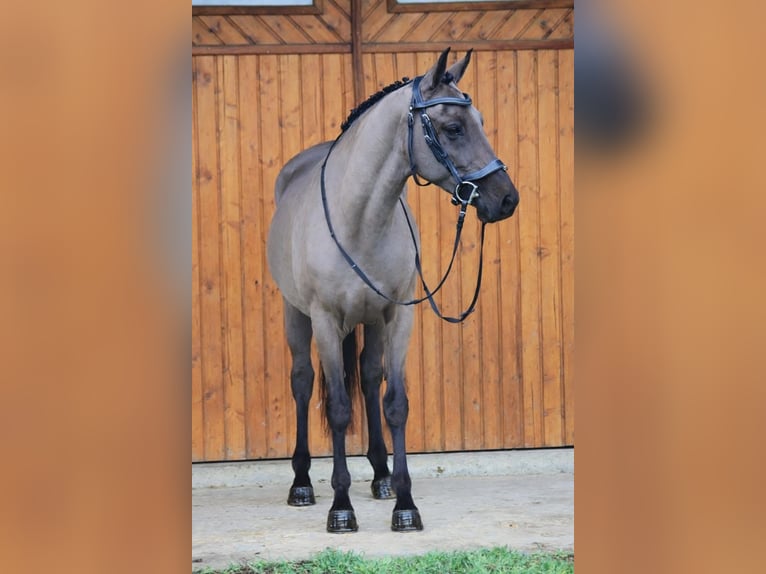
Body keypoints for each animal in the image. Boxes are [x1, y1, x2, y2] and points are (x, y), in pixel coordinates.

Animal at [266, 48, 519, 533]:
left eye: (480, 119)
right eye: (453, 127)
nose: (506, 199)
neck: (360, 218)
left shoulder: (398, 316)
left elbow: (394, 402)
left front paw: (404, 503)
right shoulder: (325, 320)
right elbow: (338, 408)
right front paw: (341, 508)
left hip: (371, 323)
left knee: (368, 379)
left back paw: (381, 476)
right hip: (295, 316)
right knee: (303, 383)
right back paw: (302, 483)